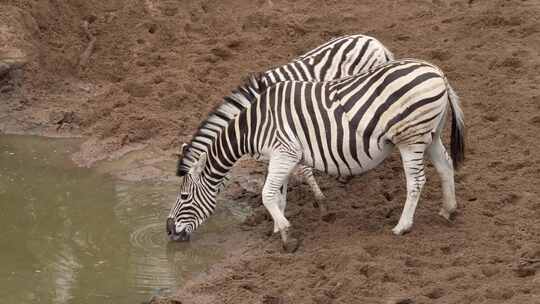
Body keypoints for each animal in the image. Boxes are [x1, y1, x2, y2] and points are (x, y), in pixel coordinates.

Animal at [168, 58, 464, 252]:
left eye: (184, 197)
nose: (169, 232)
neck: (254, 125)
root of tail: (436, 71)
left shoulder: (285, 151)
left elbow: (267, 194)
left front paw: (287, 237)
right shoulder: (281, 156)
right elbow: (278, 194)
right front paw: (279, 227)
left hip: (410, 138)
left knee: (416, 181)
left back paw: (402, 227)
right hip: (431, 134)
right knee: (446, 166)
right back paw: (447, 210)